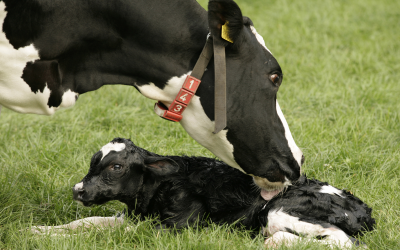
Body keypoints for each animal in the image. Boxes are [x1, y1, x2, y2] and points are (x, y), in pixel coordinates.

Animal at [30, 139, 376, 248]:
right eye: (93, 162)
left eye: (116, 167)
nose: (78, 190)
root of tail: (364, 211)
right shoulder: (135, 216)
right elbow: (89, 223)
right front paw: (40, 230)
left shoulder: (177, 226)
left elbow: (103, 233)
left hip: (279, 211)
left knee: (344, 242)